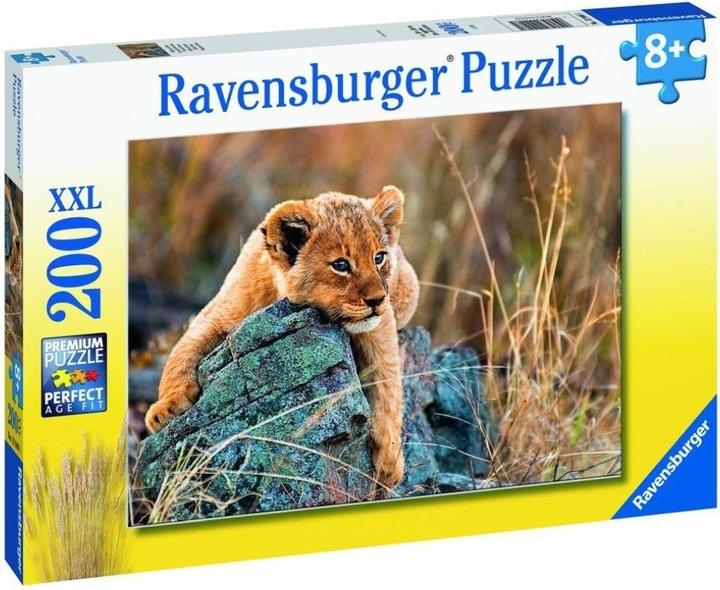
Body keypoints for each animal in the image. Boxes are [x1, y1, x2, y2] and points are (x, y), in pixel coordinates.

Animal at [145, 186, 419, 488]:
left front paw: (390, 461)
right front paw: (165, 410)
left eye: (379, 257)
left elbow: (388, 383)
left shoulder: (380, 327)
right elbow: (181, 352)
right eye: (340, 265)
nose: (377, 300)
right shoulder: (215, 315)